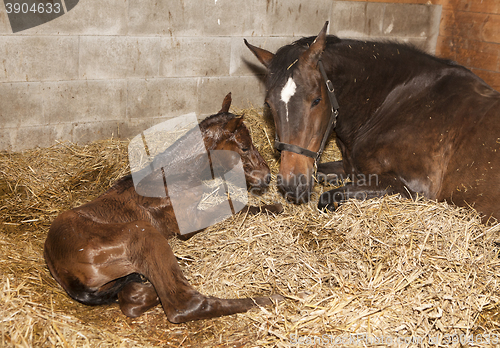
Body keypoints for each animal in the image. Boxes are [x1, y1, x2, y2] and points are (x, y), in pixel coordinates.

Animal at [246, 22, 500, 220]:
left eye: (316, 100)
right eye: (269, 105)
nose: (292, 184)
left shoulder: (416, 189)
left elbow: (329, 197)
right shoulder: (351, 168)